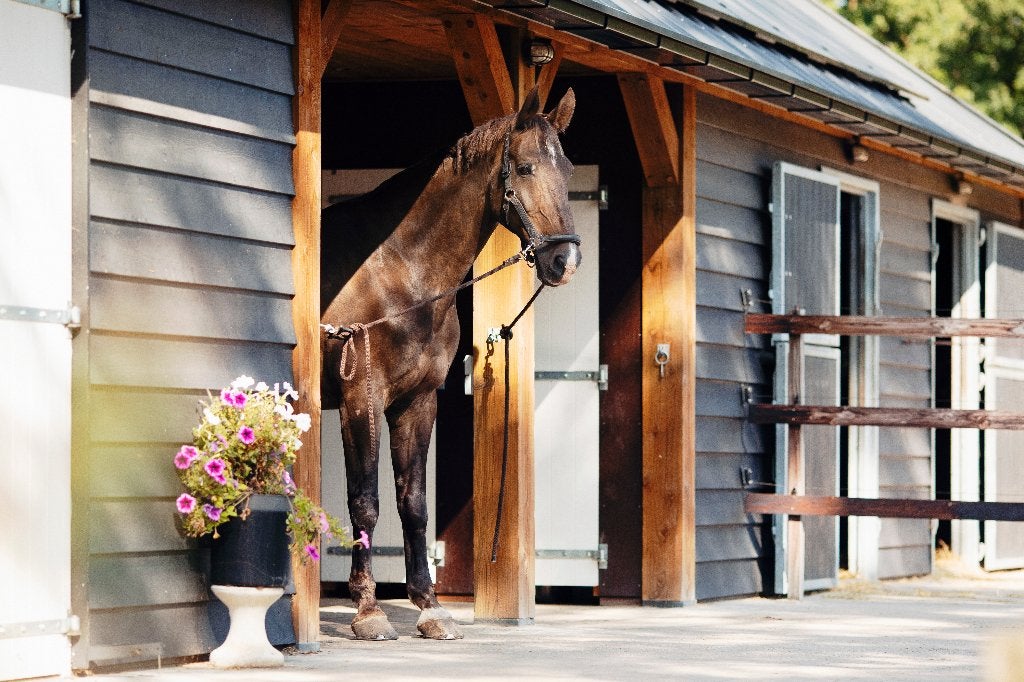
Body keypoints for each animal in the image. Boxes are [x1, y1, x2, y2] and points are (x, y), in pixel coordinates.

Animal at [320, 88, 580, 640]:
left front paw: (429, 607)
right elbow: (365, 502)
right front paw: (369, 611)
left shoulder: (416, 402)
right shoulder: (361, 399)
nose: (564, 262)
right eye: (525, 167)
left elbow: (414, 503)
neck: (399, 271)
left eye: (568, 168)